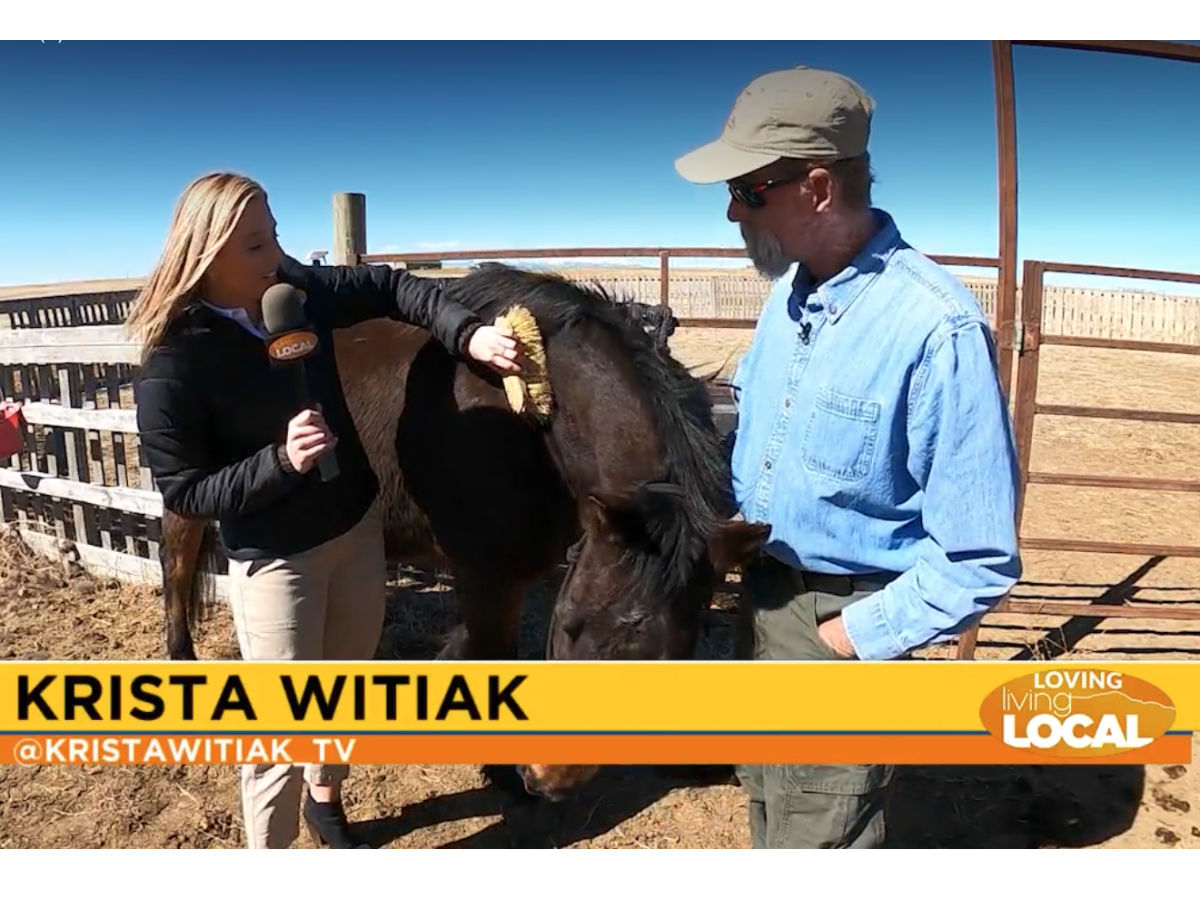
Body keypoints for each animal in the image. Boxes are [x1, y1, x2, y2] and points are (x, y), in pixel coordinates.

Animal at [157, 265, 768, 792]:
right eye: (571, 624)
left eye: (668, 658)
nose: (547, 780)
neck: (528, 420)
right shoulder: (486, 572)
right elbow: (489, 651)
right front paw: (500, 775)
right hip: (186, 495)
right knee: (176, 565)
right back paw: (181, 660)